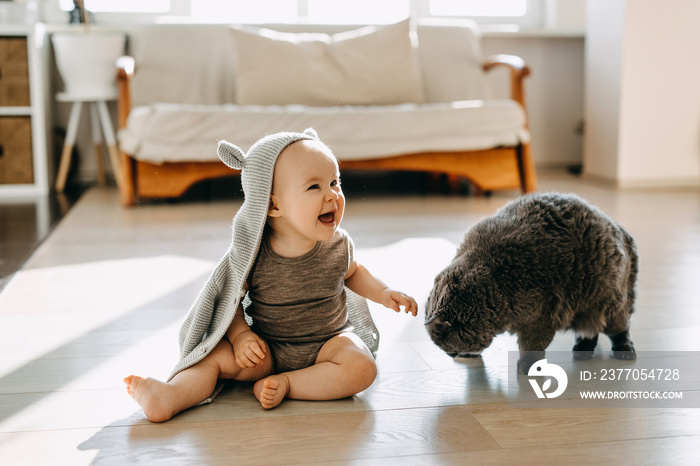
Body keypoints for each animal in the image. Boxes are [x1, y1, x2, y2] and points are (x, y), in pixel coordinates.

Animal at [424, 191, 636, 374]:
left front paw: (528, 365)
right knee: (589, 331)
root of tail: (622, 231)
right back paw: (583, 348)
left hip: (610, 304)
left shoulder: (540, 318)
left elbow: (532, 346)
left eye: (442, 345)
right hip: (585, 311)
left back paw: (624, 349)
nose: (450, 355)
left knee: (619, 328)